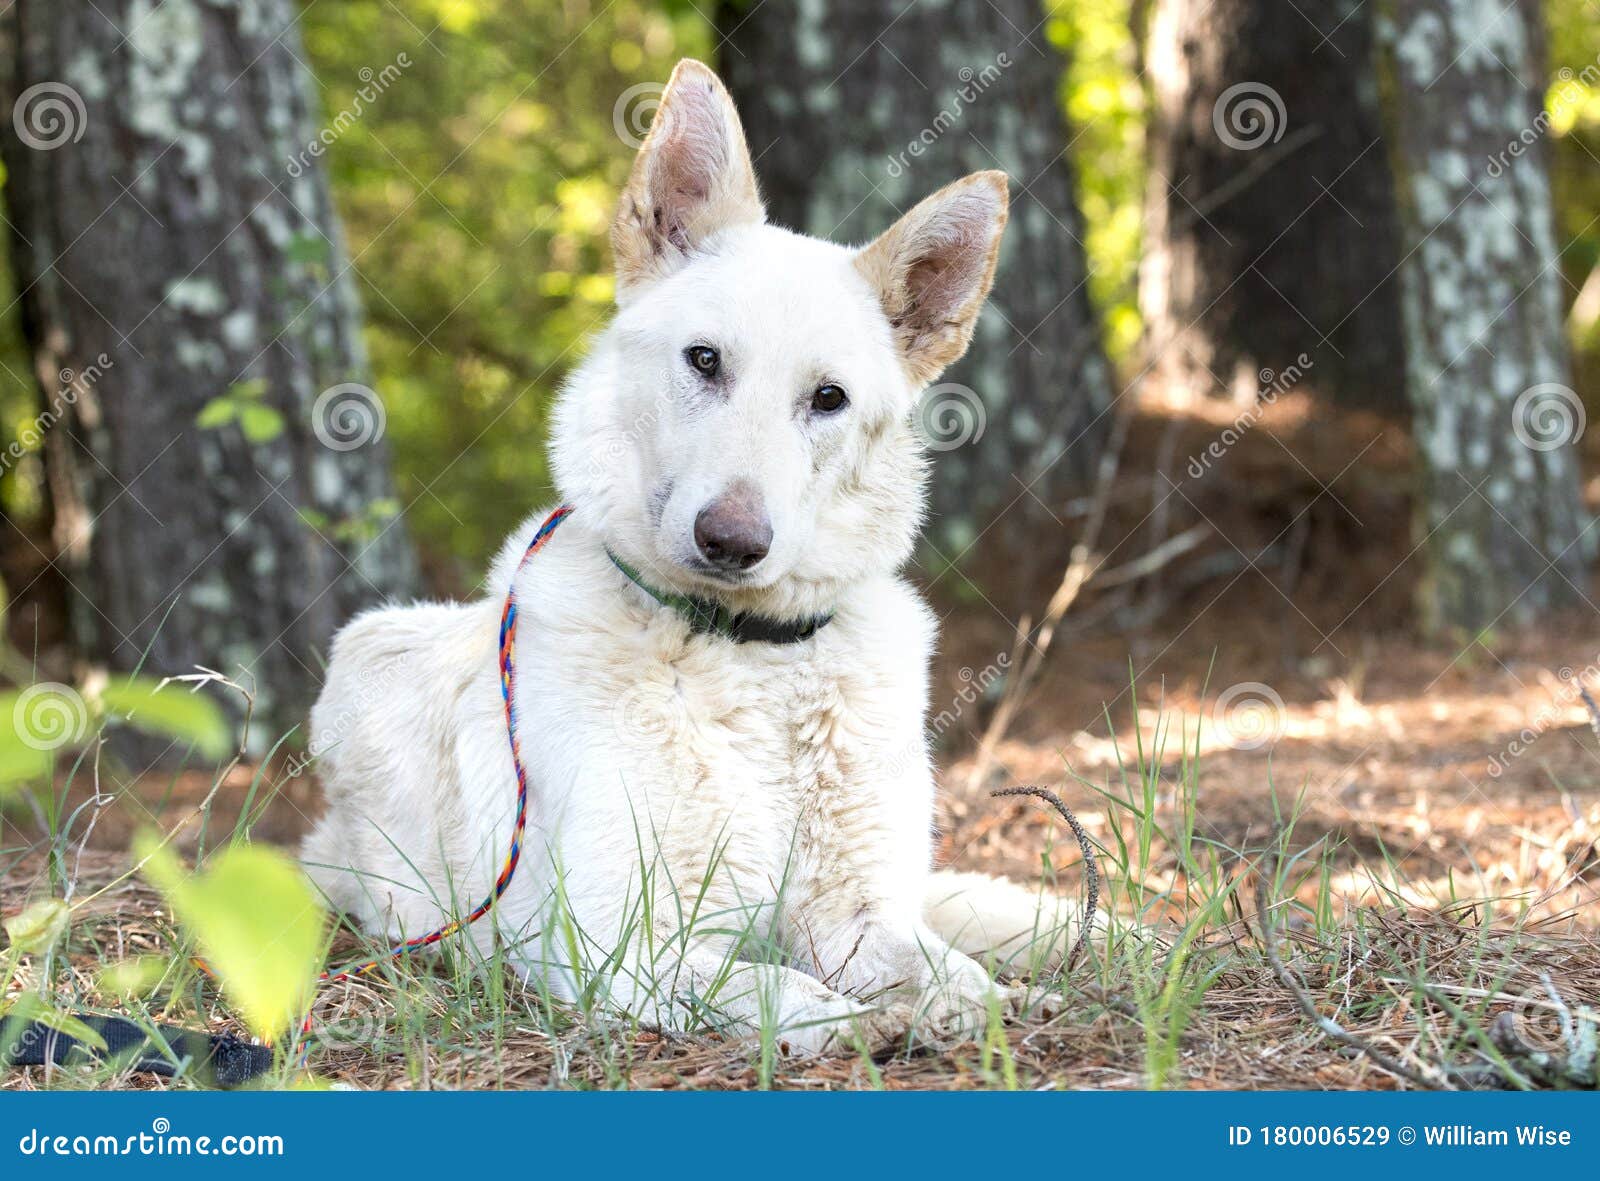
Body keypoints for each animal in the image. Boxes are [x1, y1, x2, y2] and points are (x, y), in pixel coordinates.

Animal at [300, 60, 1075, 1056]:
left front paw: (977, 1003)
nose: (732, 541)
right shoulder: (616, 943)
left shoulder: (858, 912)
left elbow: (947, 968)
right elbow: (788, 990)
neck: (744, 653)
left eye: (828, 398)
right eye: (704, 361)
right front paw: (869, 1023)